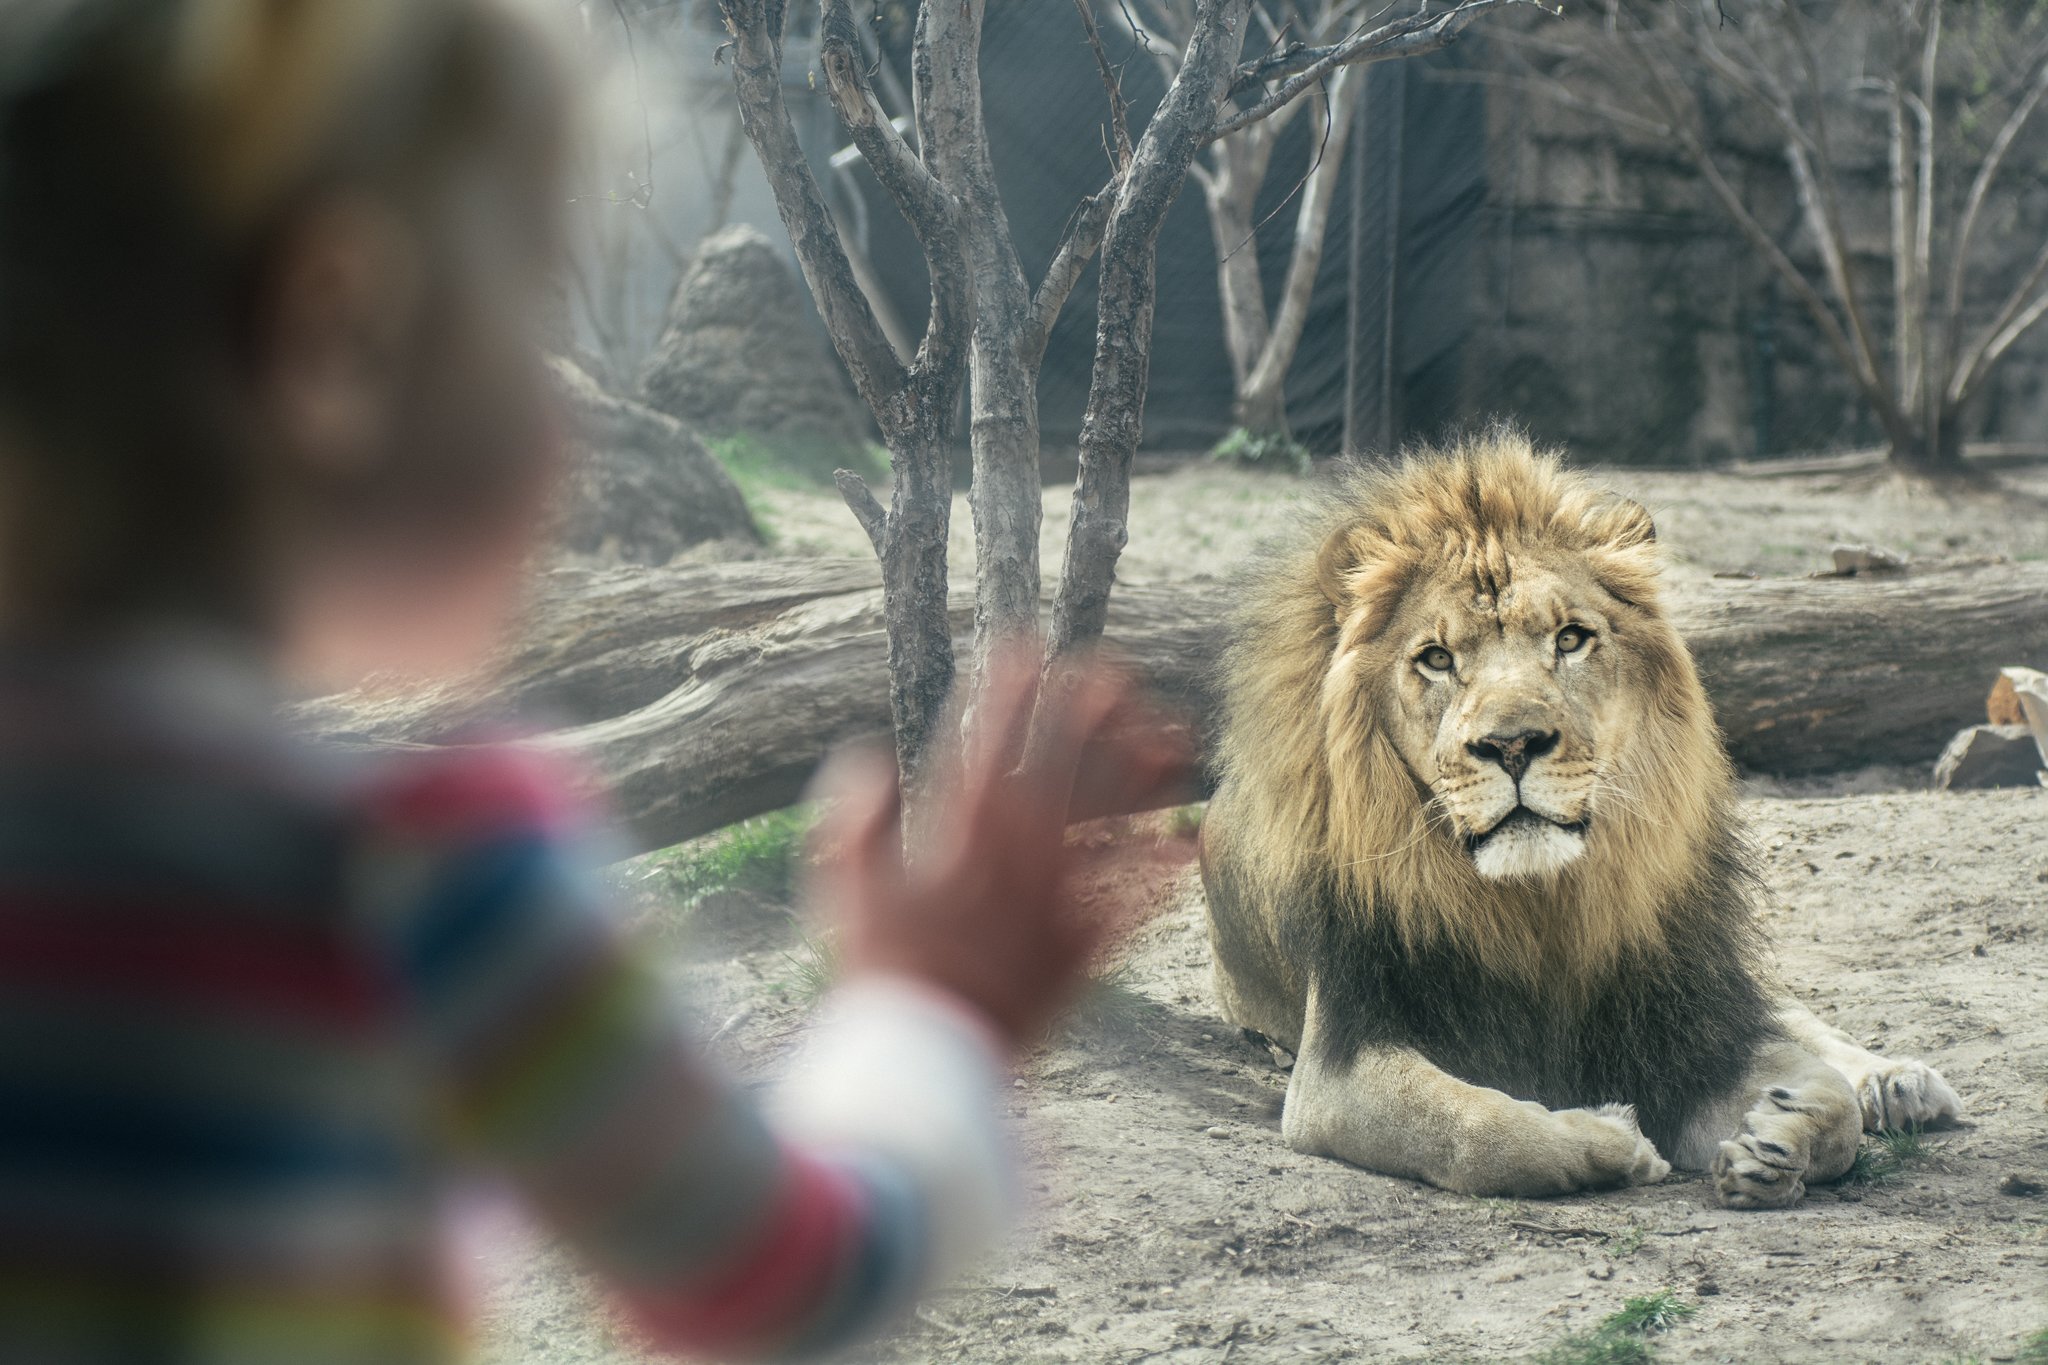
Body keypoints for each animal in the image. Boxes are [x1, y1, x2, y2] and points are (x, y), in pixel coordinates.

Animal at [1199, 431, 1961, 1209]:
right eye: (1436, 658)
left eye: (1570, 639)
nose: (1512, 745)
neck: (1543, 905)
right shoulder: (1337, 1066)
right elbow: (1477, 1128)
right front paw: (1615, 1138)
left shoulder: (1676, 1018)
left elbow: (1827, 1100)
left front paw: (1777, 1136)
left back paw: (1897, 1081)